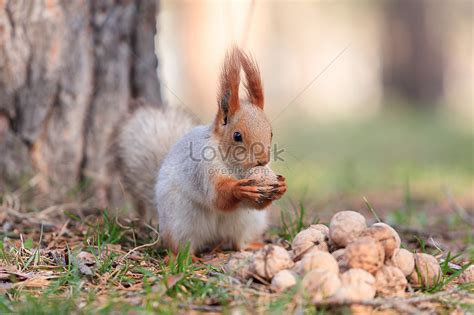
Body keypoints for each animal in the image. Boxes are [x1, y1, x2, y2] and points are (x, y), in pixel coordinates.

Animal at [115, 47, 286, 256]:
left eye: (271, 133)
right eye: (237, 136)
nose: (262, 160)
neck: (234, 166)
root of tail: (214, 239)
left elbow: (254, 203)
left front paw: (281, 186)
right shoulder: (203, 169)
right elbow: (218, 196)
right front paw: (239, 189)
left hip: (247, 222)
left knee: (237, 242)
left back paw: (250, 246)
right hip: (181, 222)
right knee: (180, 246)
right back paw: (186, 257)